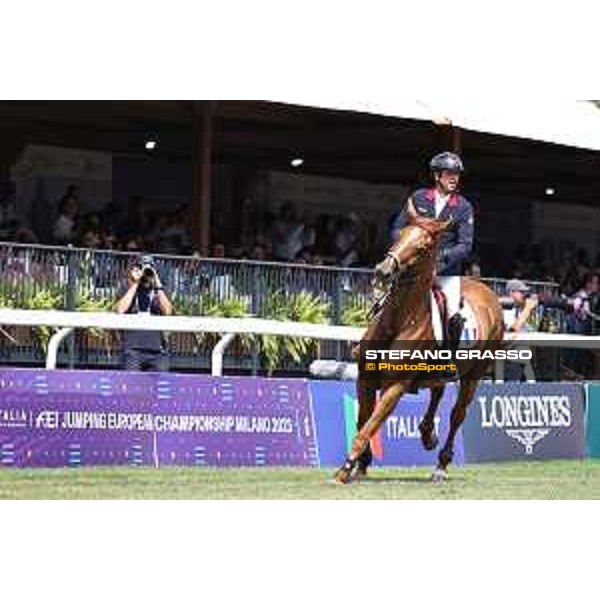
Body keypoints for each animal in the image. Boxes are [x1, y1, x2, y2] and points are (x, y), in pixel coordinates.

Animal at [336, 211, 504, 482]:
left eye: (423, 246)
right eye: (401, 234)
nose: (383, 270)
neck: (400, 320)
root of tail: (487, 292)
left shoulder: (395, 386)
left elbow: (370, 425)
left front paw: (345, 468)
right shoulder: (365, 379)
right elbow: (364, 422)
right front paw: (360, 464)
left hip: (473, 376)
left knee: (457, 414)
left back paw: (441, 465)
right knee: (437, 392)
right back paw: (427, 433)